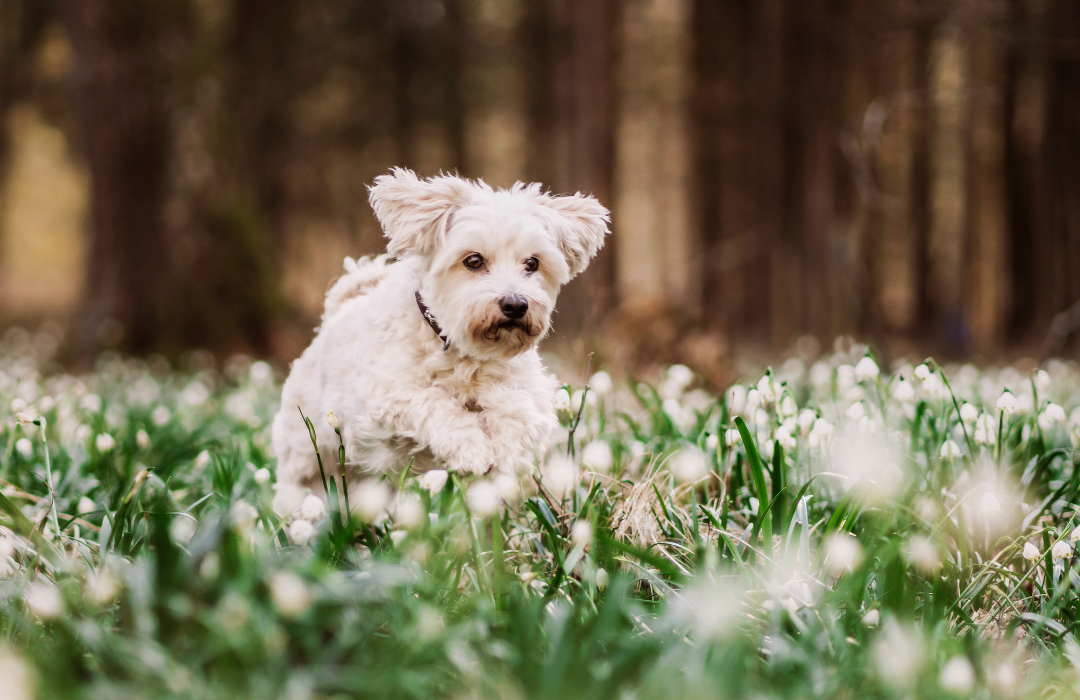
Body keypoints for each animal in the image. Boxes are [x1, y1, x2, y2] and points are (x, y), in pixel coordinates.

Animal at [270, 168, 609, 507]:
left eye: (532, 263)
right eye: (474, 261)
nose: (515, 304)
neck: (464, 354)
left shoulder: (533, 393)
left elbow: (517, 408)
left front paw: (504, 448)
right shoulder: (386, 392)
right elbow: (433, 403)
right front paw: (471, 448)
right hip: (307, 449)